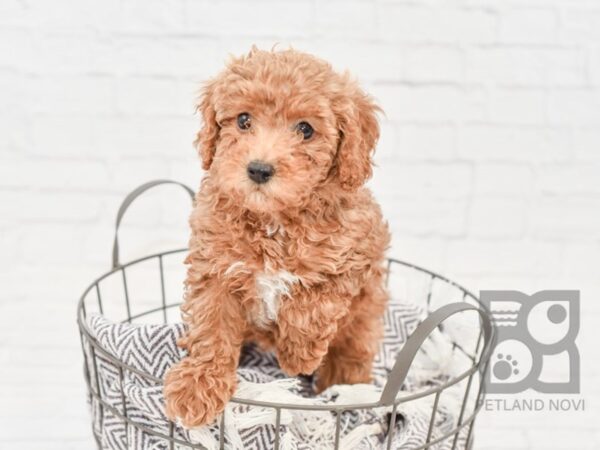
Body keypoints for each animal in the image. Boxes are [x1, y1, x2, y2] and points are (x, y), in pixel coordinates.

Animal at [164, 47, 390, 428]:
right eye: (243, 120)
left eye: (306, 129)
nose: (259, 169)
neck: (274, 220)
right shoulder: (215, 267)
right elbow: (211, 327)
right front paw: (198, 386)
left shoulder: (357, 251)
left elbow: (315, 300)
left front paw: (299, 356)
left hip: (363, 321)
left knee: (351, 355)